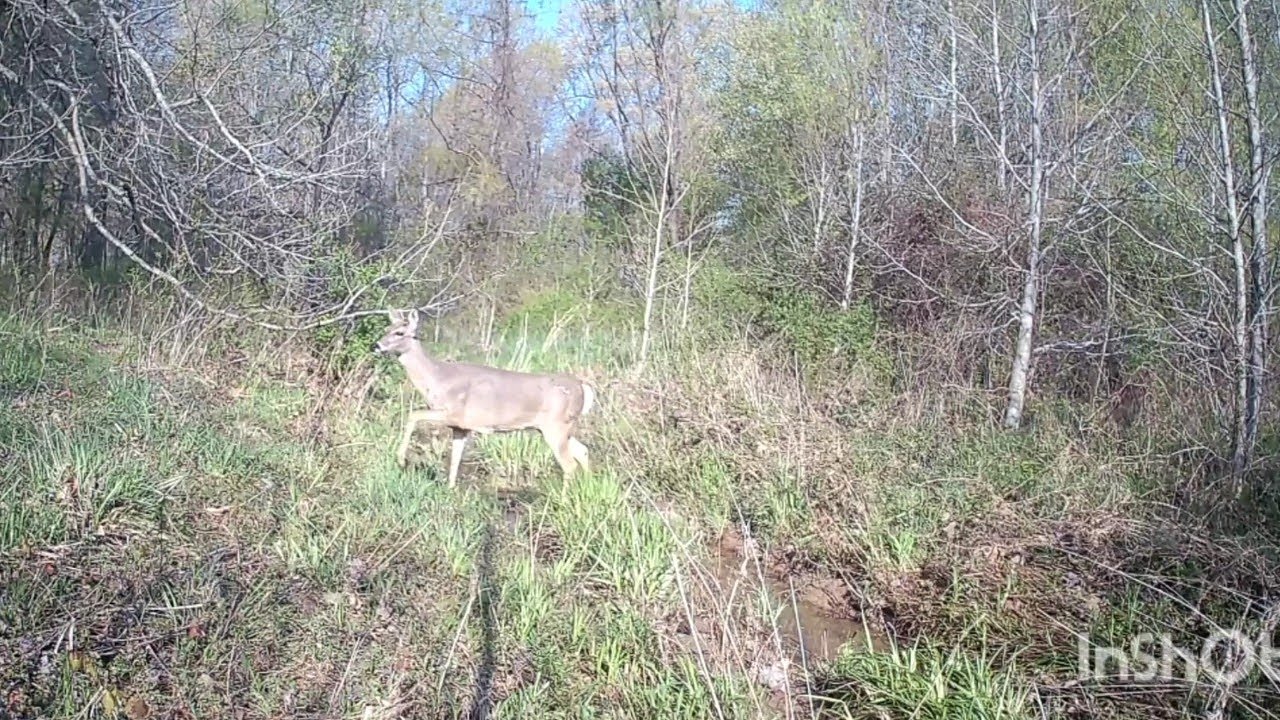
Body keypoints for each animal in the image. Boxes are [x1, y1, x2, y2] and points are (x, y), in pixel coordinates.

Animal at [372, 308, 595, 485]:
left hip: (555, 426)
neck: (437, 379)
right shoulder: (460, 427)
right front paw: (450, 490)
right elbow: (455, 459)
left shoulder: (454, 413)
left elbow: (414, 414)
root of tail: (582, 387)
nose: (376, 345)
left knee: (569, 465)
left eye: (400, 332)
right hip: (557, 428)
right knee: (583, 451)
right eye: (386, 328)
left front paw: (400, 459)